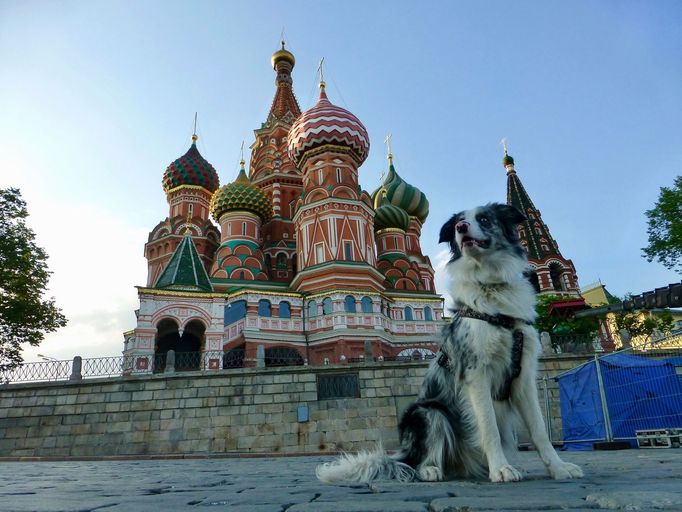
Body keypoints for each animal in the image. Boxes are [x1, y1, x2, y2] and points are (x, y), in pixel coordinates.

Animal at [316, 204, 580, 484]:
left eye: (484, 218)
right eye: (458, 223)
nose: (461, 228)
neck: (493, 296)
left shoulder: (524, 378)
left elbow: (540, 432)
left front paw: (559, 468)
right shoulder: (476, 374)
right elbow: (489, 429)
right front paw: (500, 469)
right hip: (430, 413)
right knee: (422, 461)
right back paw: (432, 470)